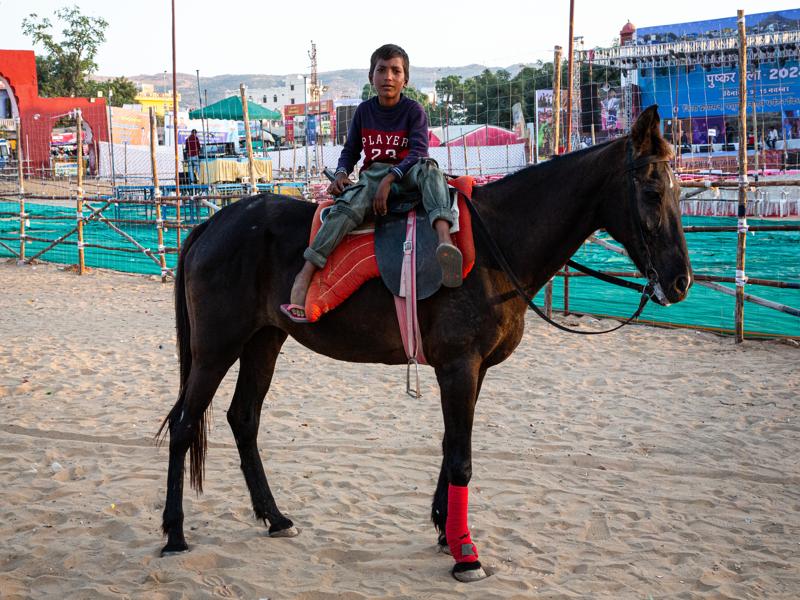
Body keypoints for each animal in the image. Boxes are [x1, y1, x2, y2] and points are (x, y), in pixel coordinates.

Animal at [157, 106, 692, 582]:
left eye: (679, 190)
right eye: (650, 190)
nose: (681, 281)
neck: (497, 244)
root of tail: (213, 224)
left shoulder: (473, 370)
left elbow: (451, 445)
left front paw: (445, 531)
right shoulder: (459, 366)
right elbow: (461, 459)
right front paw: (466, 554)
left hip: (263, 340)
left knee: (243, 419)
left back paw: (275, 517)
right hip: (216, 348)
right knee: (183, 425)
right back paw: (175, 532)